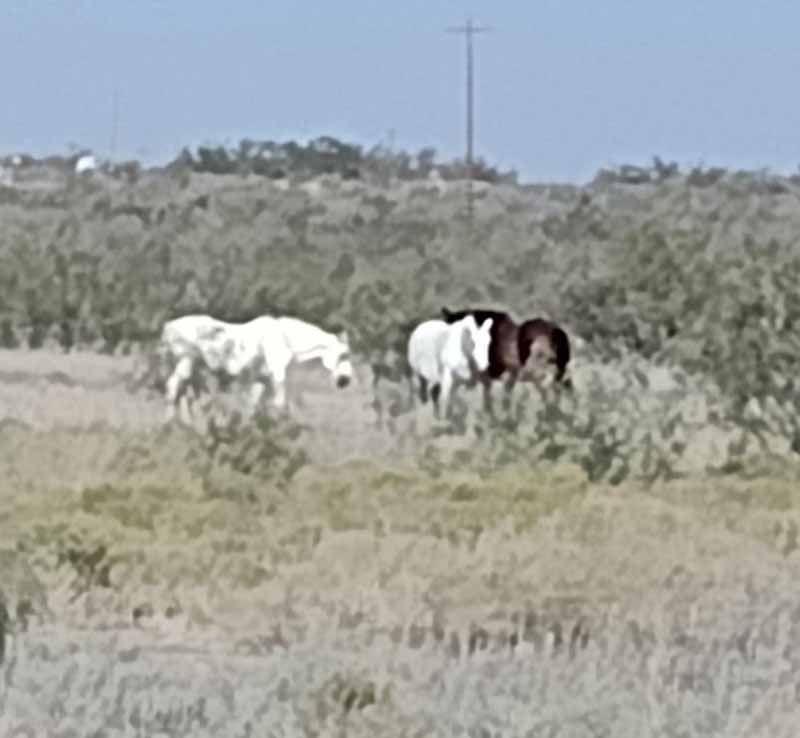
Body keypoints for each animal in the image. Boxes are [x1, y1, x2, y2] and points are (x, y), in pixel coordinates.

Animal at [158, 313, 353, 424]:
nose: (345, 380)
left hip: (193, 370)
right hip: (186, 363)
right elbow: (279, 404)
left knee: (185, 396)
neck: (285, 339)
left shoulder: (262, 380)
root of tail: (167, 327)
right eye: (344, 354)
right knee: (173, 388)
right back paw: (169, 425)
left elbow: (253, 407)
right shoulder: (276, 376)